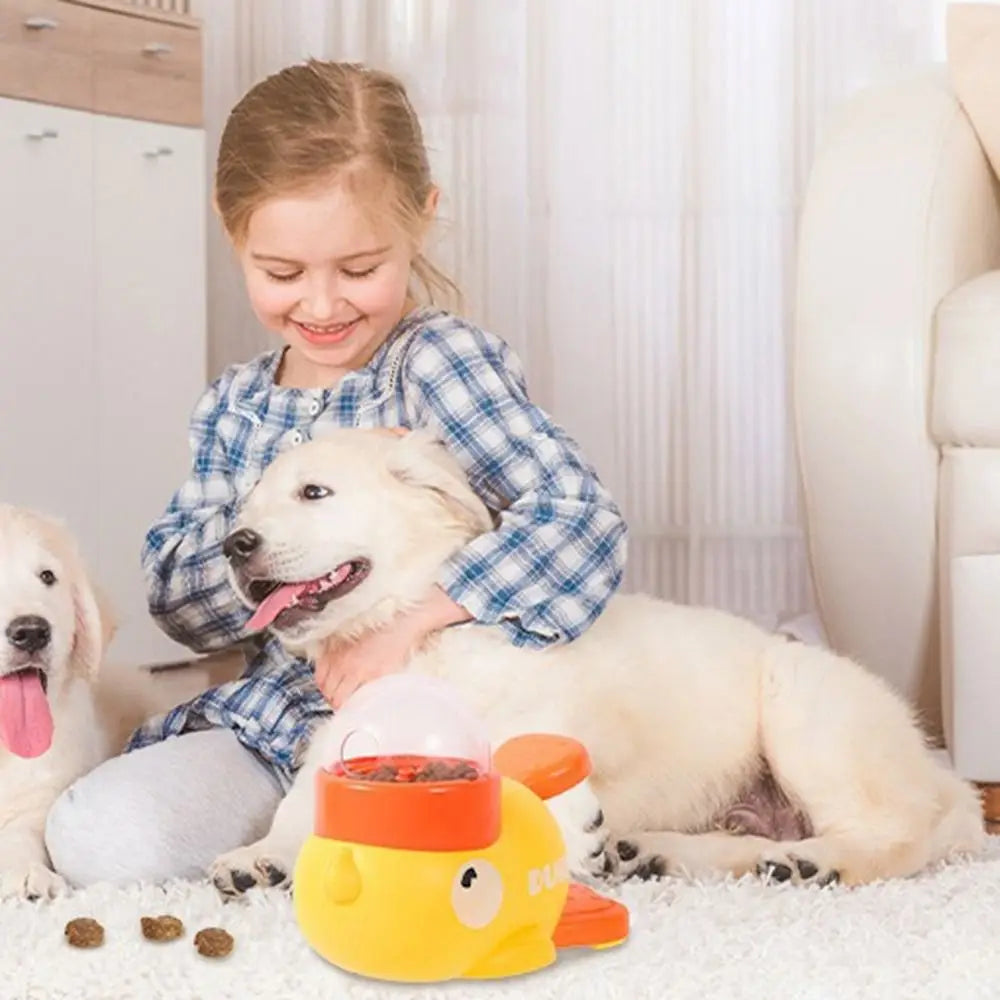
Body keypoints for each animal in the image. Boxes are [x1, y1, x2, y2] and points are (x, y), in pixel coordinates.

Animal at [207, 426, 980, 896]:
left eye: (315, 493)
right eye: (246, 510)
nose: (235, 545)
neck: (413, 644)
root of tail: (944, 777)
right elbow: (305, 802)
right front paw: (260, 857)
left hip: (808, 711)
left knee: (898, 835)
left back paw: (811, 862)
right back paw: (658, 854)